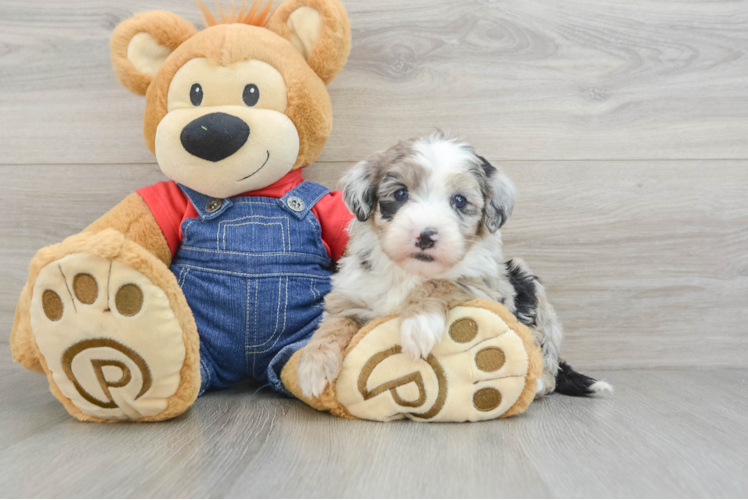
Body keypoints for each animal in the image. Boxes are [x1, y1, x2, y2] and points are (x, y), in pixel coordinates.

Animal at [298, 132, 612, 398]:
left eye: (459, 201)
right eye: (400, 194)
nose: (425, 236)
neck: (409, 271)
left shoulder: (485, 289)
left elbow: (441, 281)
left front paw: (419, 323)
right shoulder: (351, 295)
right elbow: (335, 324)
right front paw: (313, 366)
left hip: (532, 292)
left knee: (549, 367)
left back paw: (535, 384)